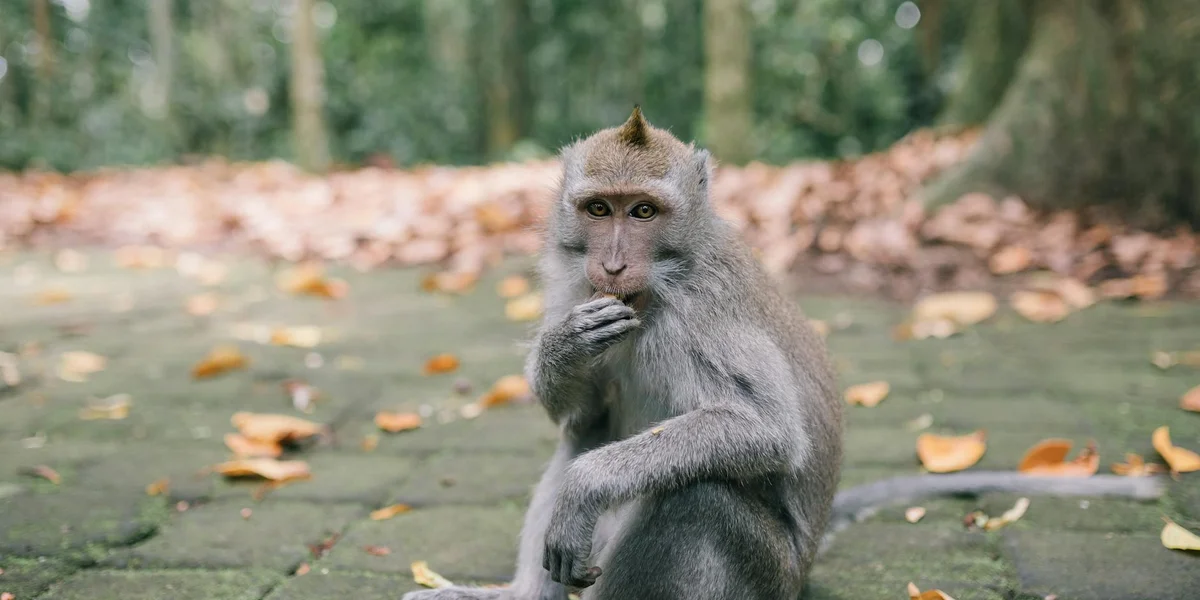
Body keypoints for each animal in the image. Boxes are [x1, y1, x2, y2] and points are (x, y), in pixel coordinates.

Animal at [400, 108, 1165, 600]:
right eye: (598, 210)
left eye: (643, 212)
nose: (612, 265)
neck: (658, 285)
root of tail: (806, 568)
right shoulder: (577, 288)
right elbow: (583, 421)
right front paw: (562, 351)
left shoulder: (702, 318)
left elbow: (765, 429)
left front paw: (588, 487)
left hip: (766, 578)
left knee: (699, 494)